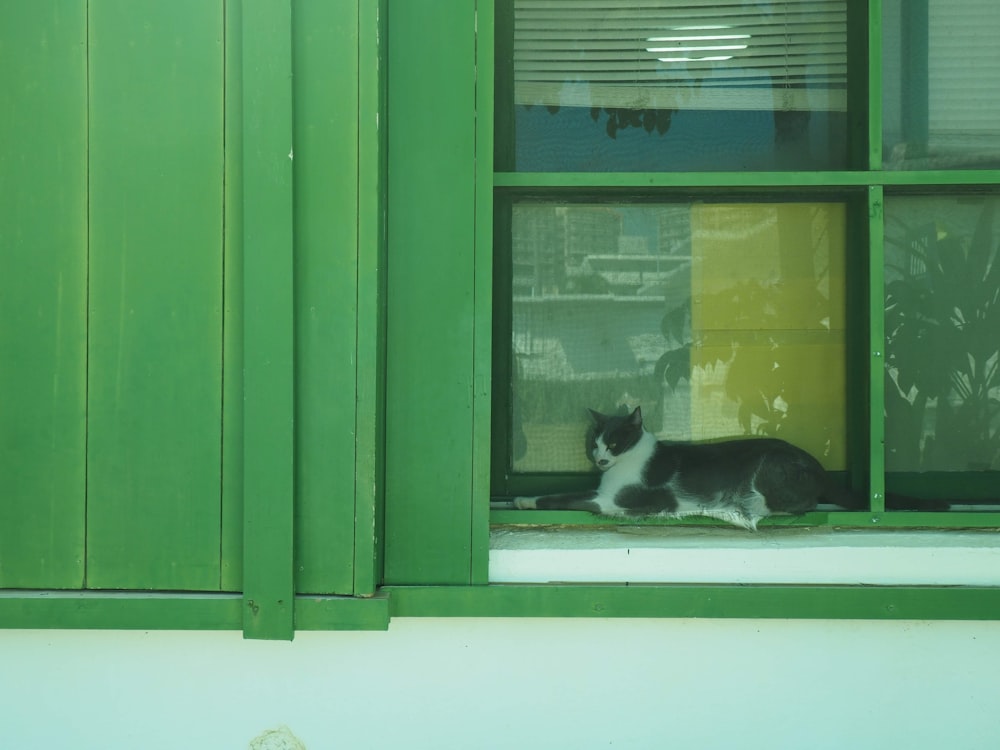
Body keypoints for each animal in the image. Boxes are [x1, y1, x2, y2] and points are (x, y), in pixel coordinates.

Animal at [508, 408, 944, 532]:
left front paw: (525, 500)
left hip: (769, 468)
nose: (599, 458)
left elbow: (564, 497)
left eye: (615, 443)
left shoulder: (615, 500)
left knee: (796, 505)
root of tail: (820, 470)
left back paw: (741, 507)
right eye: (595, 443)